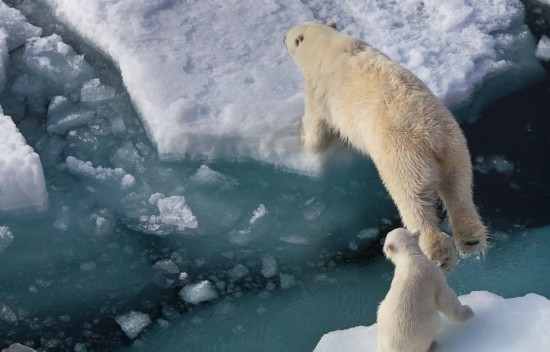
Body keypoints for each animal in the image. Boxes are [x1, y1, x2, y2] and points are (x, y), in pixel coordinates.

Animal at [286, 21, 490, 272]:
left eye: (289, 36)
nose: (282, 38)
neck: (330, 46)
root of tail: (430, 137)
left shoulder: (318, 90)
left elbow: (316, 127)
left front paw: (302, 141)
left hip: (404, 159)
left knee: (413, 201)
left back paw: (438, 255)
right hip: (455, 149)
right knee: (459, 188)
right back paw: (471, 240)